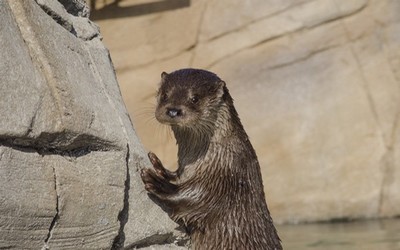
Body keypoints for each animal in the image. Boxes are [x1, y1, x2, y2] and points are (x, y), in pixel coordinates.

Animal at [141, 68, 282, 250]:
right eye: (165, 94)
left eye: (195, 98)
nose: (173, 111)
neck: (221, 152)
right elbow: (179, 177)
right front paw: (159, 167)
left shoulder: (227, 177)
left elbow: (197, 199)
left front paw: (158, 183)